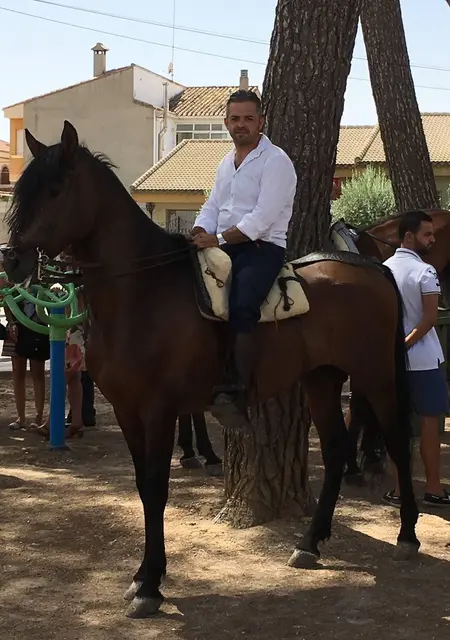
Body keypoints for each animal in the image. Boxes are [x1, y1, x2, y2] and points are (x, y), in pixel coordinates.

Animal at [3, 121, 420, 618]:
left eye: (55, 189)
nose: (11, 259)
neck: (143, 289)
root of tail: (373, 269)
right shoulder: (126, 408)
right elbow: (142, 486)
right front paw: (143, 576)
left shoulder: (158, 409)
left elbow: (156, 488)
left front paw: (150, 586)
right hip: (321, 379)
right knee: (337, 449)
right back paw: (309, 543)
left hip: (376, 377)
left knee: (396, 440)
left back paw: (407, 535)